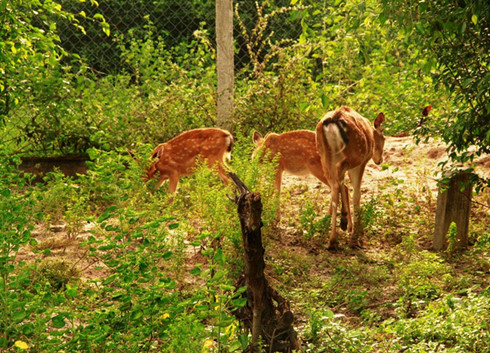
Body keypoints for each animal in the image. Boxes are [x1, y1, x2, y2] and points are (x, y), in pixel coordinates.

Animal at [314, 106, 386, 248]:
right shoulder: (362, 162)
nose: (380, 160)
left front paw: (349, 226)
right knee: (340, 179)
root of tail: (333, 120)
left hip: (325, 157)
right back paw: (342, 230)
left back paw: (333, 238)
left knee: (335, 186)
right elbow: (357, 194)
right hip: (354, 155)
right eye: (384, 137)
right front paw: (356, 234)